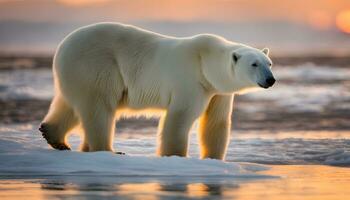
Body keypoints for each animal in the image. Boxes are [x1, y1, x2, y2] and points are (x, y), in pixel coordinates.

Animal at [39, 22, 274, 159]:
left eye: (269, 63)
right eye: (254, 64)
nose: (270, 80)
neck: (205, 62)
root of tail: (62, 46)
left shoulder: (218, 91)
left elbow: (217, 122)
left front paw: (213, 159)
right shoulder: (189, 81)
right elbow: (179, 118)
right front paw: (175, 156)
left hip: (78, 73)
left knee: (70, 105)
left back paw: (54, 137)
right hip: (97, 65)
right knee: (99, 107)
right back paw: (108, 150)